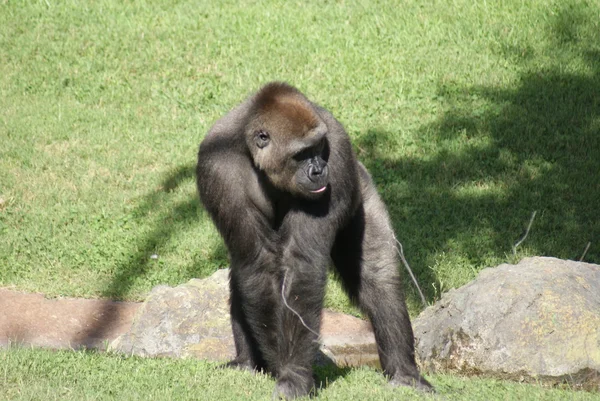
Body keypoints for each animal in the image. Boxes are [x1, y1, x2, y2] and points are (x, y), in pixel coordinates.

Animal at [197, 81, 432, 396]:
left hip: (362, 183)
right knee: (244, 272)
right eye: (301, 154)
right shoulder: (218, 167)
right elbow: (257, 265)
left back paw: (404, 372)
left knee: (377, 275)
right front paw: (285, 369)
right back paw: (246, 361)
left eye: (318, 148)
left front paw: (293, 374)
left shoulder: (337, 142)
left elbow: (303, 266)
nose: (320, 170)